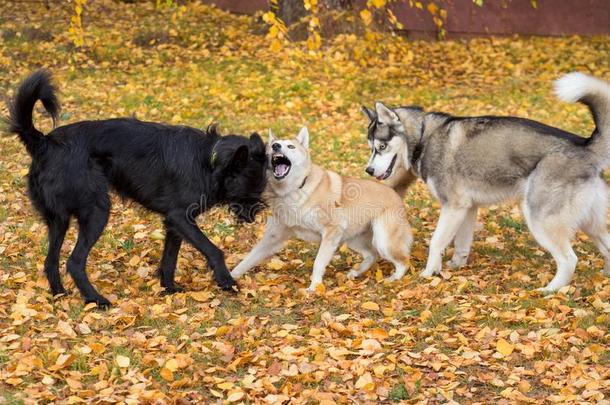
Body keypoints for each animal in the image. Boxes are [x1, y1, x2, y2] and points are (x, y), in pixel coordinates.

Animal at [6, 69, 264, 304]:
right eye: (252, 187)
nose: (256, 215)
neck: (209, 160)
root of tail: (45, 143)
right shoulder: (181, 218)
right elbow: (212, 249)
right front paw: (227, 281)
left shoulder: (174, 223)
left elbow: (169, 259)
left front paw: (168, 289)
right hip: (97, 211)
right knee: (74, 262)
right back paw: (96, 300)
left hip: (58, 221)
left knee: (50, 261)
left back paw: (59, 294)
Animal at [230, 126, 410, 290]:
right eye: (272, 145)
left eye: (290, 146)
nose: (276, 146)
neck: (293, 191)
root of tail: (393, 192)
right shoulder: (272, 239)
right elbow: (246, 260)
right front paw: (229, 279)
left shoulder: (331, 231)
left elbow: (318, 263)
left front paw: (314, 288)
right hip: (352, 239)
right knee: (372, 255)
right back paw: (356, 273)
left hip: (382, 241)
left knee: (403, 262)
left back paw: (393, 279)